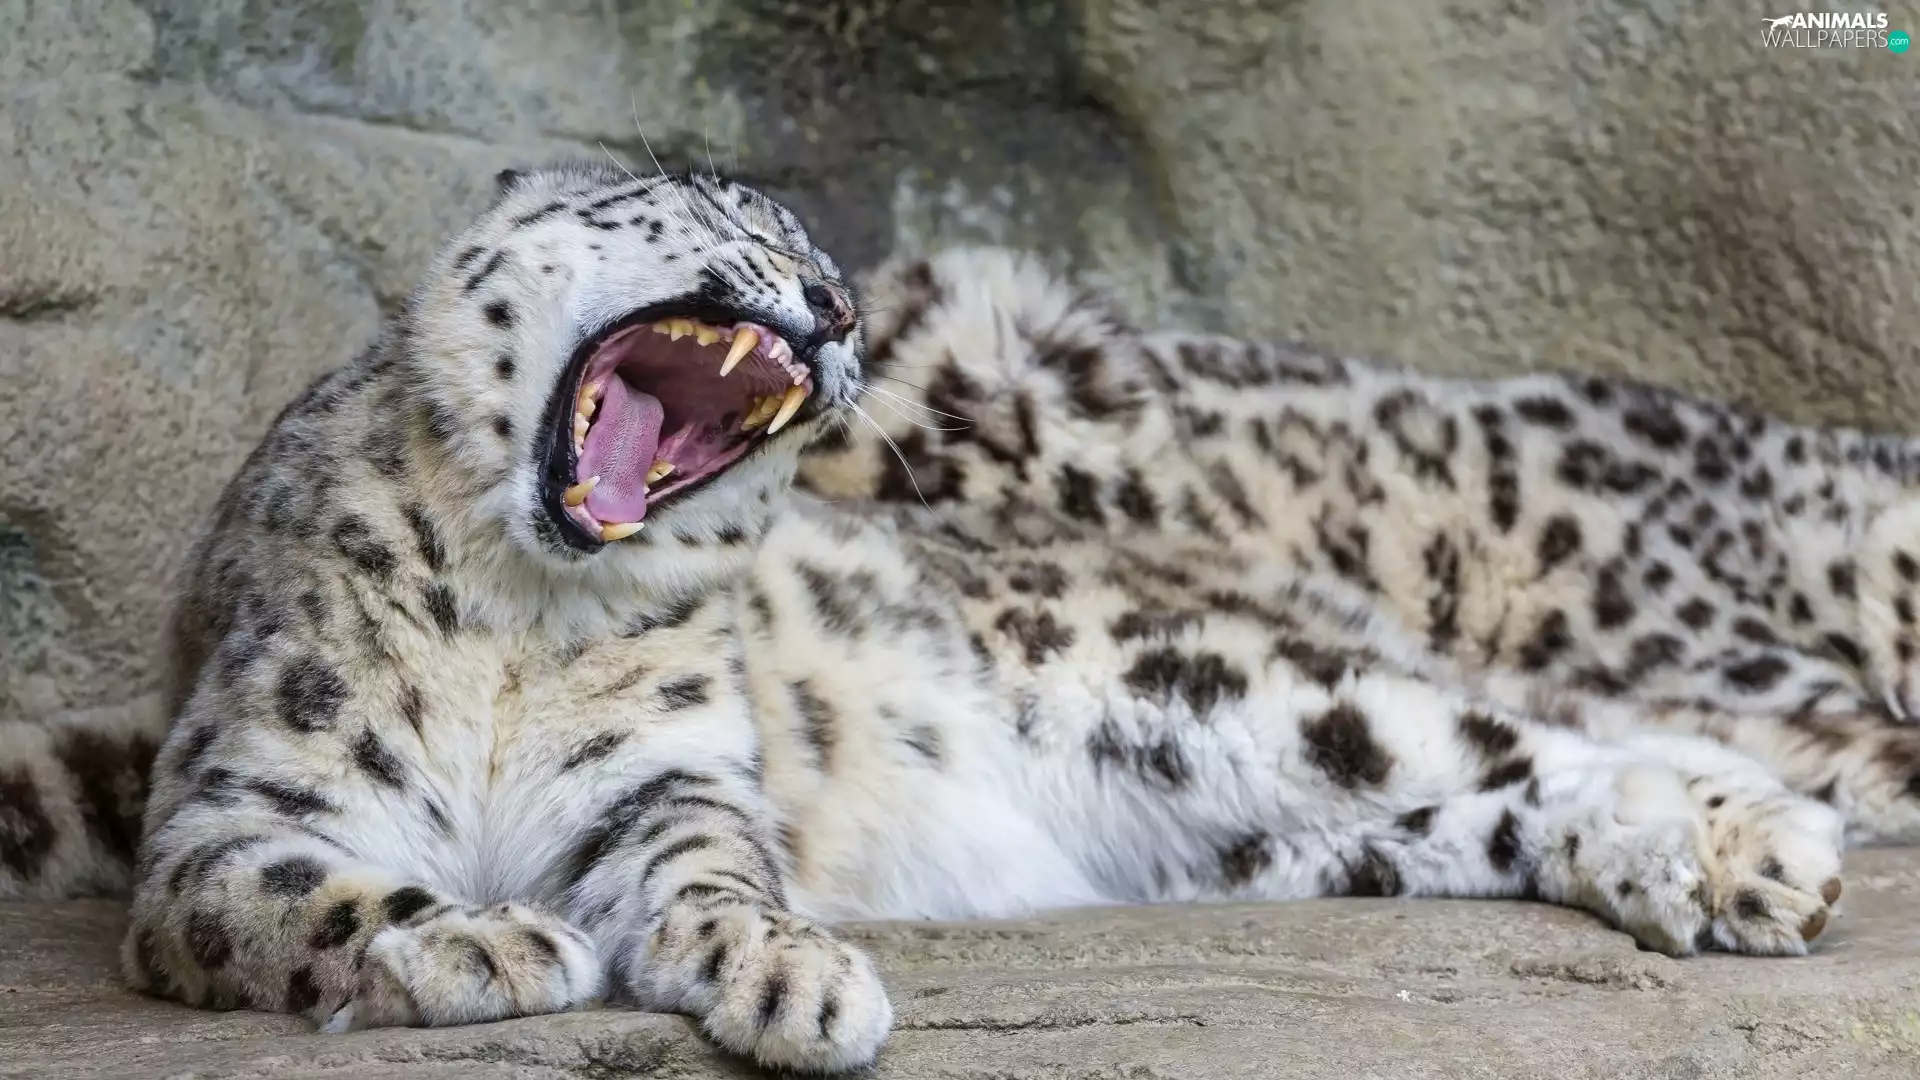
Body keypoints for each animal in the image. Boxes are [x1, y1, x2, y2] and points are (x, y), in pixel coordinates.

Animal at [4, 160, 1920, 1075]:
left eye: (828, 262)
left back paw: (1759, 850)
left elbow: (713, 874)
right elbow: (293, 896)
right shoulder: (238, 804)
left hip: (1211, 688)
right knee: (1474, 810)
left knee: (1536, 733)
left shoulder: (667, 783)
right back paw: (1697, 866)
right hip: (1258, 836)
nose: (839, 303)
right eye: (714, 211)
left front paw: (783, 979)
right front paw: (476, 942)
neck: (522, 617)